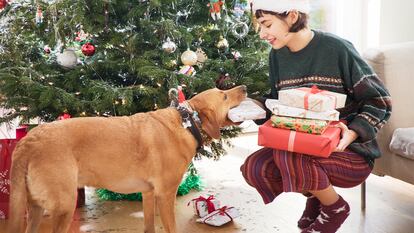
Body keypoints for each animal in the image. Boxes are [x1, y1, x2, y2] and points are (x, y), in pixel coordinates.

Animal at [8, 85, 247, 233]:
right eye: (224, 96)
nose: (244, 87)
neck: (187, 122)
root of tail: (28, 141)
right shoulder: (165, 195)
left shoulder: (148, 194)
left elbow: (149, 226)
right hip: (64, 207)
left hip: (35, 208)